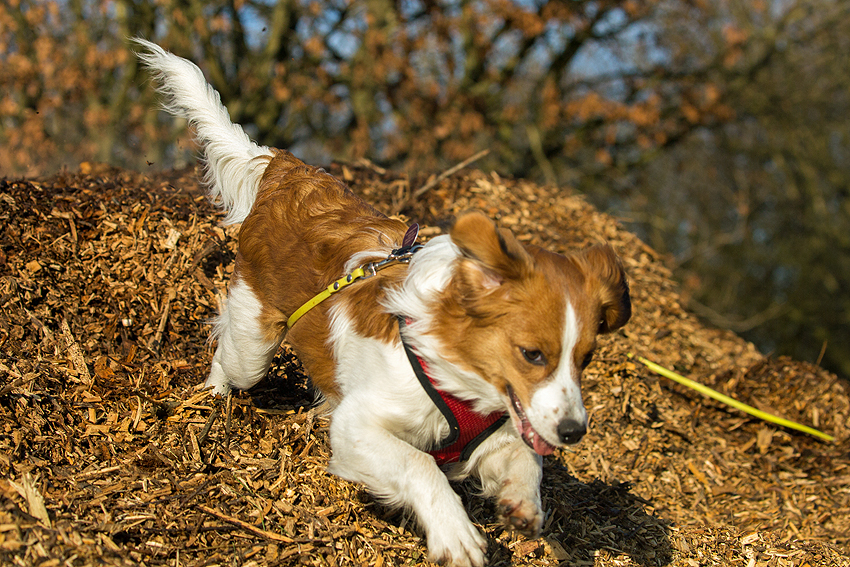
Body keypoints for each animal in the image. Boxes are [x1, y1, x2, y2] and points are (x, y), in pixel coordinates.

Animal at [136, 37, 628, 564]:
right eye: (532, 354)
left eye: (585, 359)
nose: (575, 432)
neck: (451, 367)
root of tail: (286, 169)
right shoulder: (359, 427)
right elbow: (420, 465)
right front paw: (455, 532)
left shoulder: (494, 436)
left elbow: (524, 459)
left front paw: (522, 503)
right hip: (254, 340)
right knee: (230, 356)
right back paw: (211, 397)